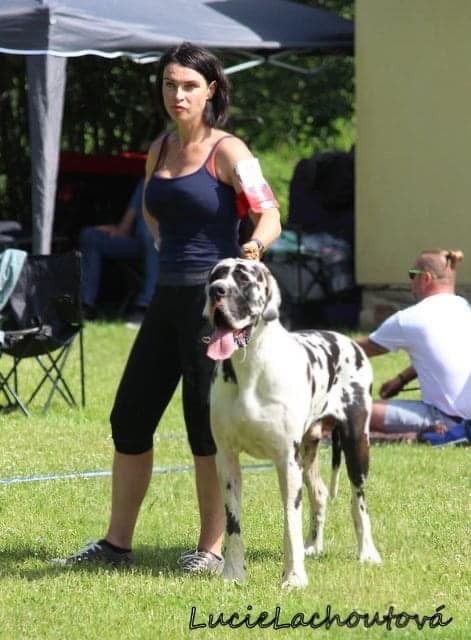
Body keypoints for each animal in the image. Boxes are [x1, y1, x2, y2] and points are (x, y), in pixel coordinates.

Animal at [204, 258, 382, 588]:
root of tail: (347, 340)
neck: (251, 368)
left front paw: (294, 577)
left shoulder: (287, 460)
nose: (215, 291)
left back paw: (367, 552)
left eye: (244, 279)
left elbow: (290, 520)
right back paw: (314, 545)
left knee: (358, 501)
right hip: (309, 452)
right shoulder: (227, 459)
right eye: (214, 276)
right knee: (320, 494)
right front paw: (233, 574)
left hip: (356, 444)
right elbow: (233, 523)